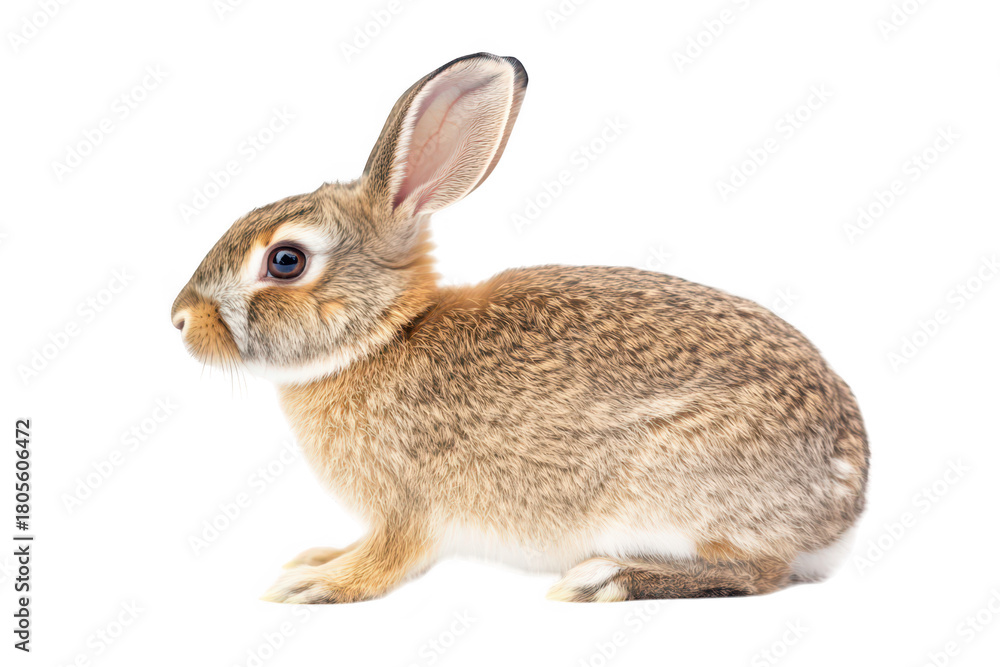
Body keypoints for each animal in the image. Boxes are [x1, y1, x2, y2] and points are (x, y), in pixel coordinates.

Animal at [171, 52, 869, 604]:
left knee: (760, 573)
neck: (381, 338)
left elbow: (388, 557)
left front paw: (316, 583)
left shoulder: (408, 506)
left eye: (286, 261)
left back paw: (607, 577)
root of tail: (848, 501)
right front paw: (316, 558)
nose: (179, 319)